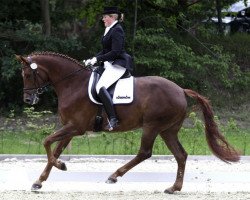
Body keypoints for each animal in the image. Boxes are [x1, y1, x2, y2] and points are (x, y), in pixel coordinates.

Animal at [16, 51, 239, 194]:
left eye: (27, 74)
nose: (28, 100)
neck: (72, 83)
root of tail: (180, 90)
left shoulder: (75, 127)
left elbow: (47, 142)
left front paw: (60, 166)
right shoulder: (70, 128)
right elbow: (55, 150)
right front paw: (39, 181)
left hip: (152, 126)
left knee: (145, 153)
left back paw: (114, 175)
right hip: (168, 130)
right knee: (181, 155)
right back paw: (174, 188)